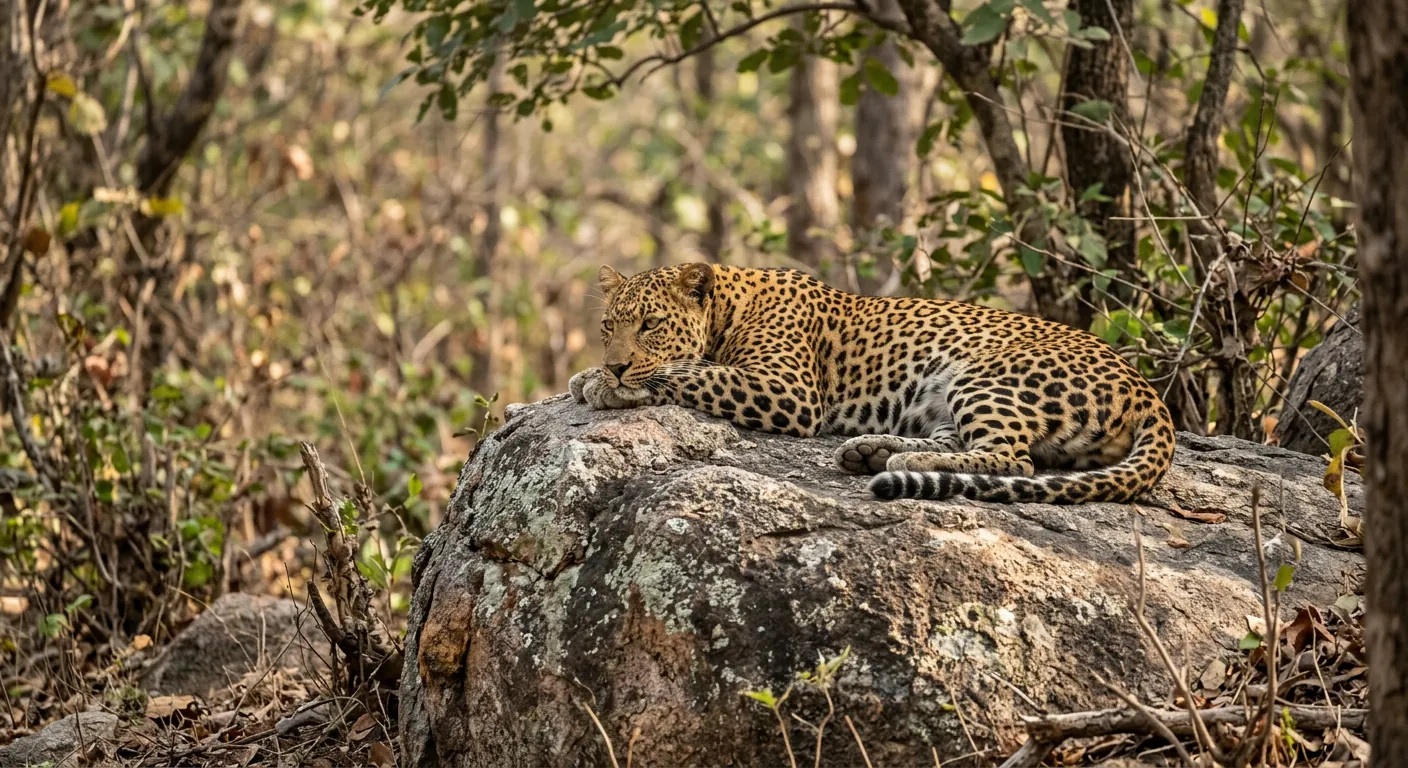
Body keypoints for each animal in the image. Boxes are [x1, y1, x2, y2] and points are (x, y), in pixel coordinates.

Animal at [569, 262, 1176, 504]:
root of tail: (1145, 387)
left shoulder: (787, 390)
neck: (729, 308)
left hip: (987, 377)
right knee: (966, 444)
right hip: (946, 397)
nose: (615, 363)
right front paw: (589, 374)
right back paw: (871, 452)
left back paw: (897, 462)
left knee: (1014, 460)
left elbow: (690, 372)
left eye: (651, 325)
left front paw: (610, 384)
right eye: (608, 326)